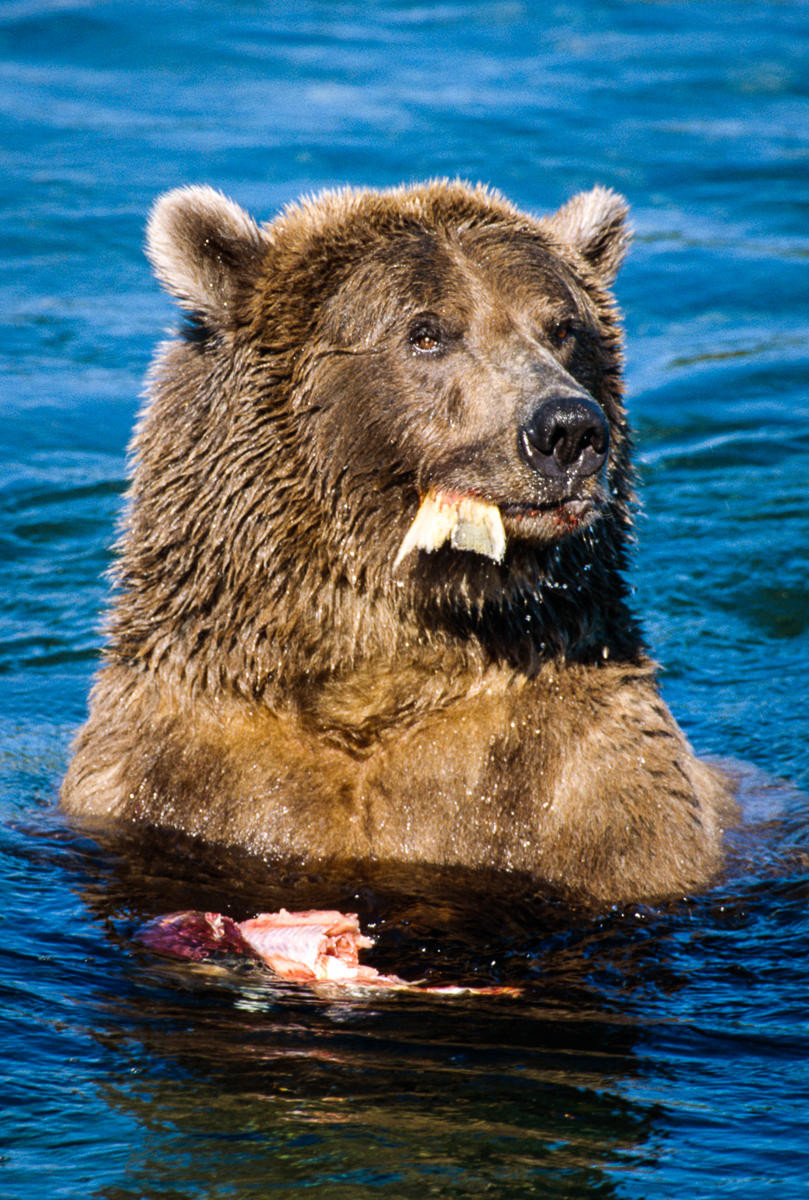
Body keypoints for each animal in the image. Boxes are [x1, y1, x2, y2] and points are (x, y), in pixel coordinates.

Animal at [60, 180, 734, 902]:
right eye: (426, 332)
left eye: (561, 328)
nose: (567, 428)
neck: (377, 671)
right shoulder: (174, 768)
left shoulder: (592, 785)